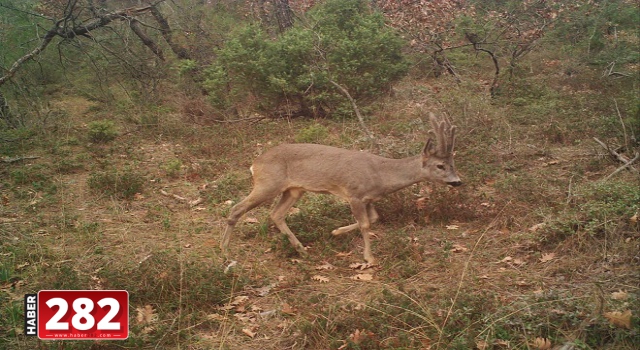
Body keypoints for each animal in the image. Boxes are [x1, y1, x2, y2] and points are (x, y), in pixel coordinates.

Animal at [220, 112, 460, 262]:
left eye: (453, 162)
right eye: (440, 165)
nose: (458, 181)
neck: (381, 174)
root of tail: (255, 163)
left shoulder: (368, 198)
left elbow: (374, 219)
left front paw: (336, 231)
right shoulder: (354, 194)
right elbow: (365, 224)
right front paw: (369, 258)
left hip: (294, 189)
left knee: (276, 214)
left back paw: (301, 249)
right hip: (268, 183)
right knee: (237, 208)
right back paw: (224, 249)